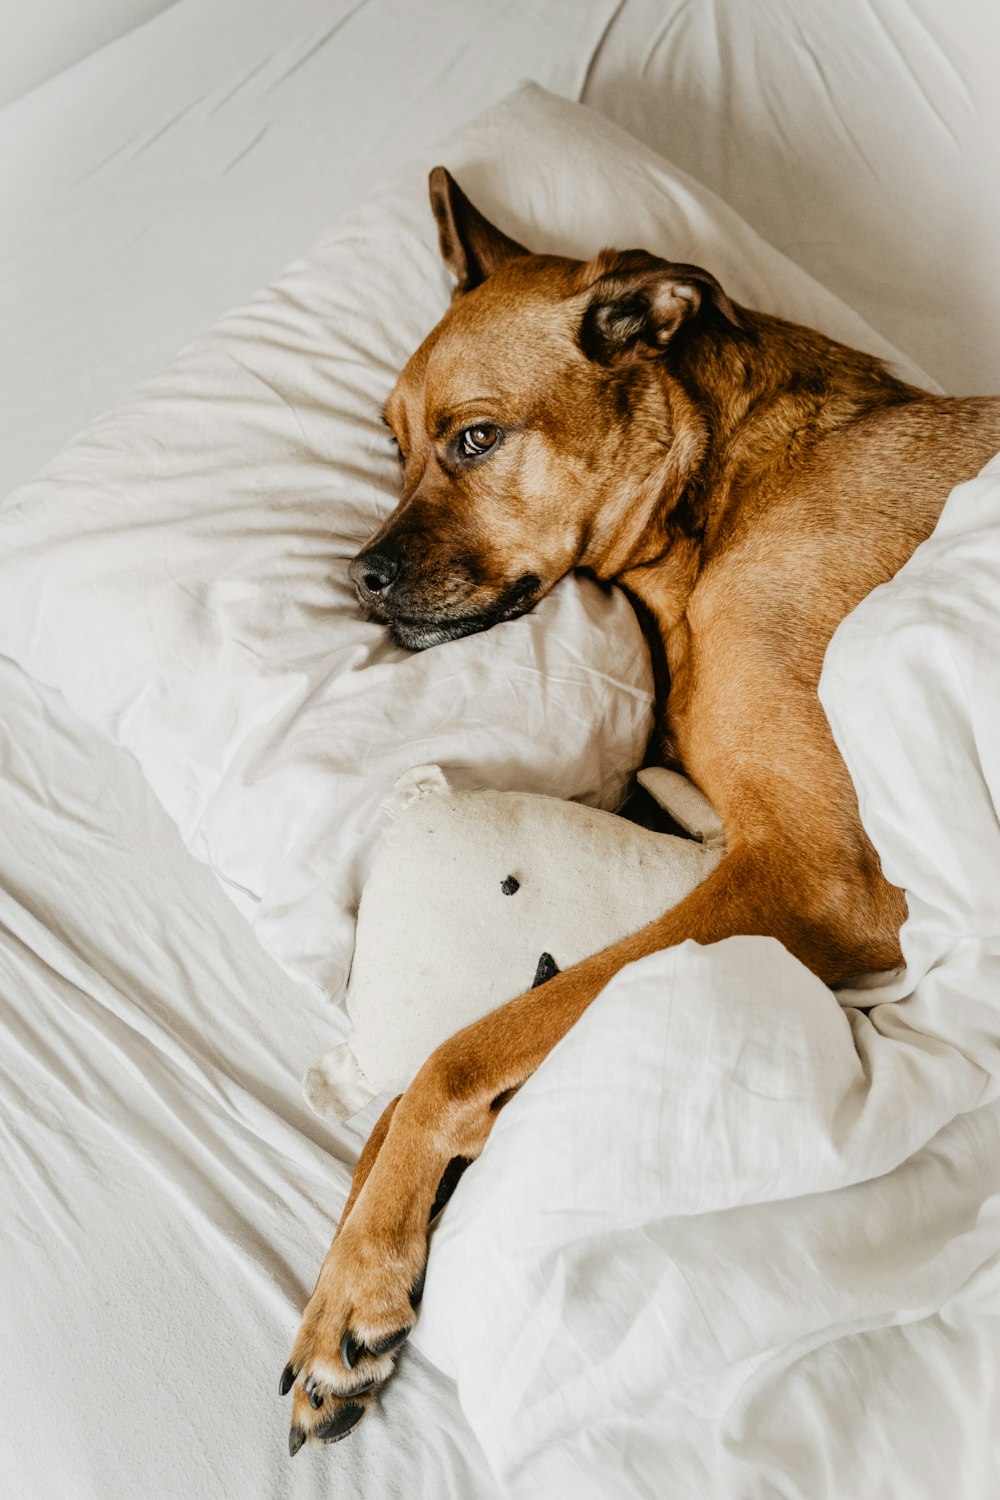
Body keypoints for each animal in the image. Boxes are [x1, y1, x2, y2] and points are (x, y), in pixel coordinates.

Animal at [280, 170, 1000, 1446]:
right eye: (394, 445)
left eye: (475, 438)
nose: (356, 578)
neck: (726, 491)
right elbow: (439, 1072)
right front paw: (363, 1268)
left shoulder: (813, 875)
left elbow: (459, 1055)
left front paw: (354, 1281)